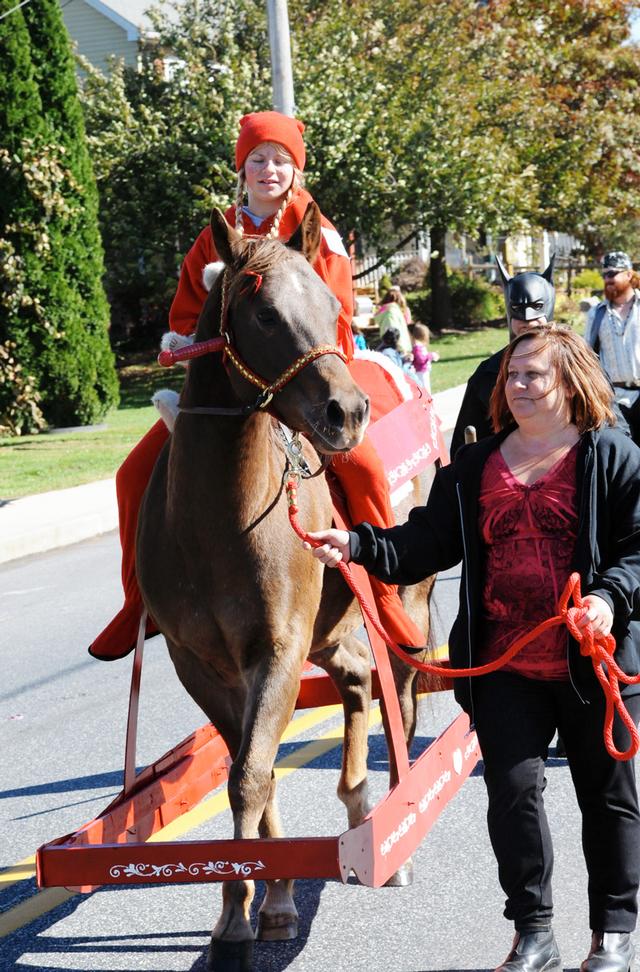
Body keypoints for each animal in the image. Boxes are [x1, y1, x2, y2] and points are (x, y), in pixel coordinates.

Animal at [138, 201, 432, 968]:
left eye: (333, 305)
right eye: (264, 313)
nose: (347, 412)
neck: (215, 522)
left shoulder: (276, 649)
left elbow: (249, 773)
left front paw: (237, 915)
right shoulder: (204, 665)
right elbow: (258, 769)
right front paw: (267, 901)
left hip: (404, 605)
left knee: (400, 694)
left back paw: (396, 823)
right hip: (326, 633)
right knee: (358, 679)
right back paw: (358, 796)